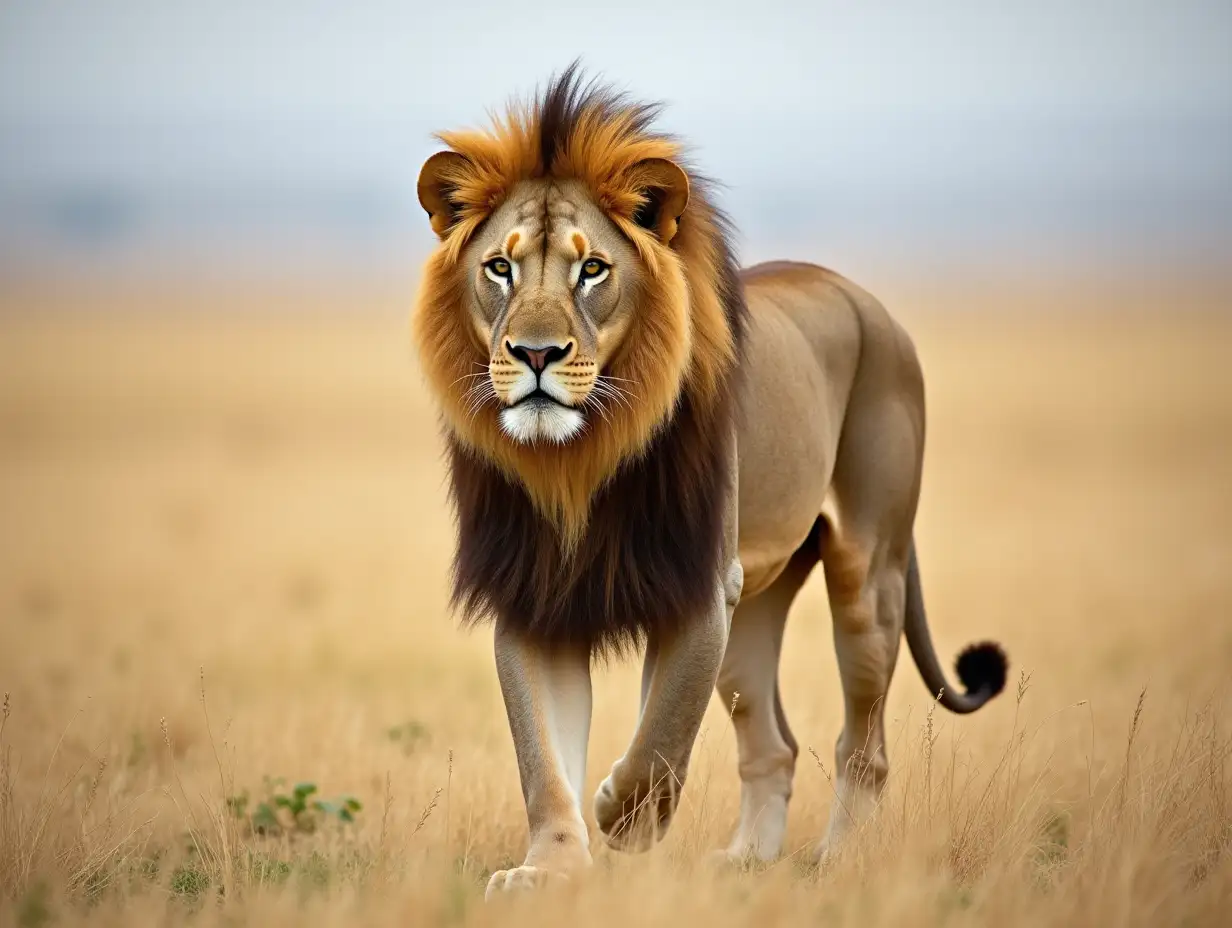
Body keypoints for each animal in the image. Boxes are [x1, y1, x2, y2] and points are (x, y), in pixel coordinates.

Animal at [409, 63, 1005, 897]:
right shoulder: (534, 596)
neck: (575, 465)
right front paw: (549, 868)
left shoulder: (695, 586)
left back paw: (838, 859)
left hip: (868, 573)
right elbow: (543, 759)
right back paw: (748, 859)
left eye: (593, 269)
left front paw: (624, 818)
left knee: (865, 743)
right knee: (774, 744)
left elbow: (661, 734)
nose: (534, 354)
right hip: (756, 605)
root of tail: (865, 300)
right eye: (500, 267)